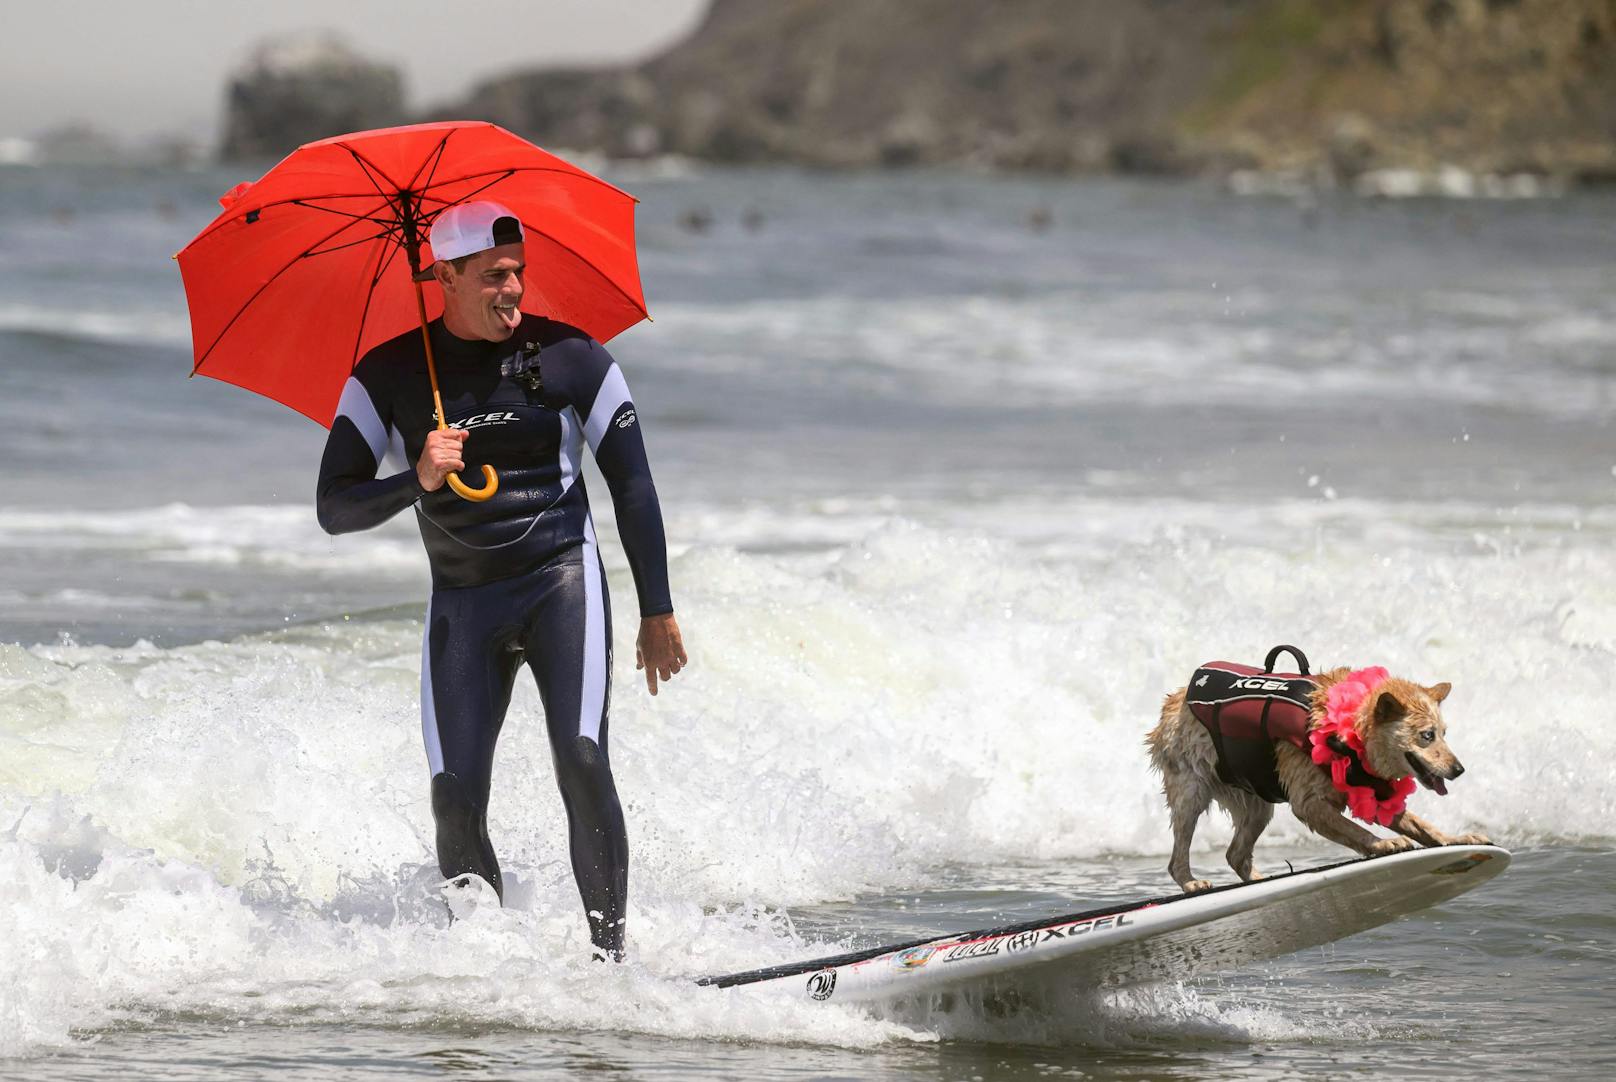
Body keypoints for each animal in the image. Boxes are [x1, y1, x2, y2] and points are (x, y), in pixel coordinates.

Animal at [1150, 662, 1486, 897]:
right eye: (1427, 735)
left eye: (1444, 733)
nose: (1459, 769)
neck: (1350, 733)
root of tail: (1174, 700)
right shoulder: (1310, 803)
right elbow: (1352, 829)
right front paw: (1382, 843)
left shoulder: (1372, 791)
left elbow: (1420, 825)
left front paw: (1454, 839)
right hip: (1191, 792)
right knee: (1179, 852)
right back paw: (1191, 883)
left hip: (1256, 805)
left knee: (1236, 854)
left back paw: (1261, 881)